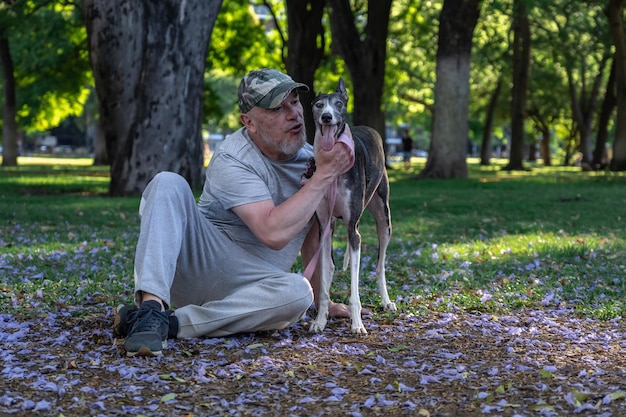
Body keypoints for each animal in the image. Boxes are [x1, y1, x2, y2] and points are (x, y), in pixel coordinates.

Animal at [306, 78, 394, 334]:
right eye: (318, 104)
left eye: (339, 103)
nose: (327, 117)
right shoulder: (324, 228)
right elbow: (325, 281)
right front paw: (320, 321)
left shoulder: (354, 231)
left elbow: (355, 289)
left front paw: (357, 324)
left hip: (383, 219)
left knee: (379, 265)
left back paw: (386, 301)